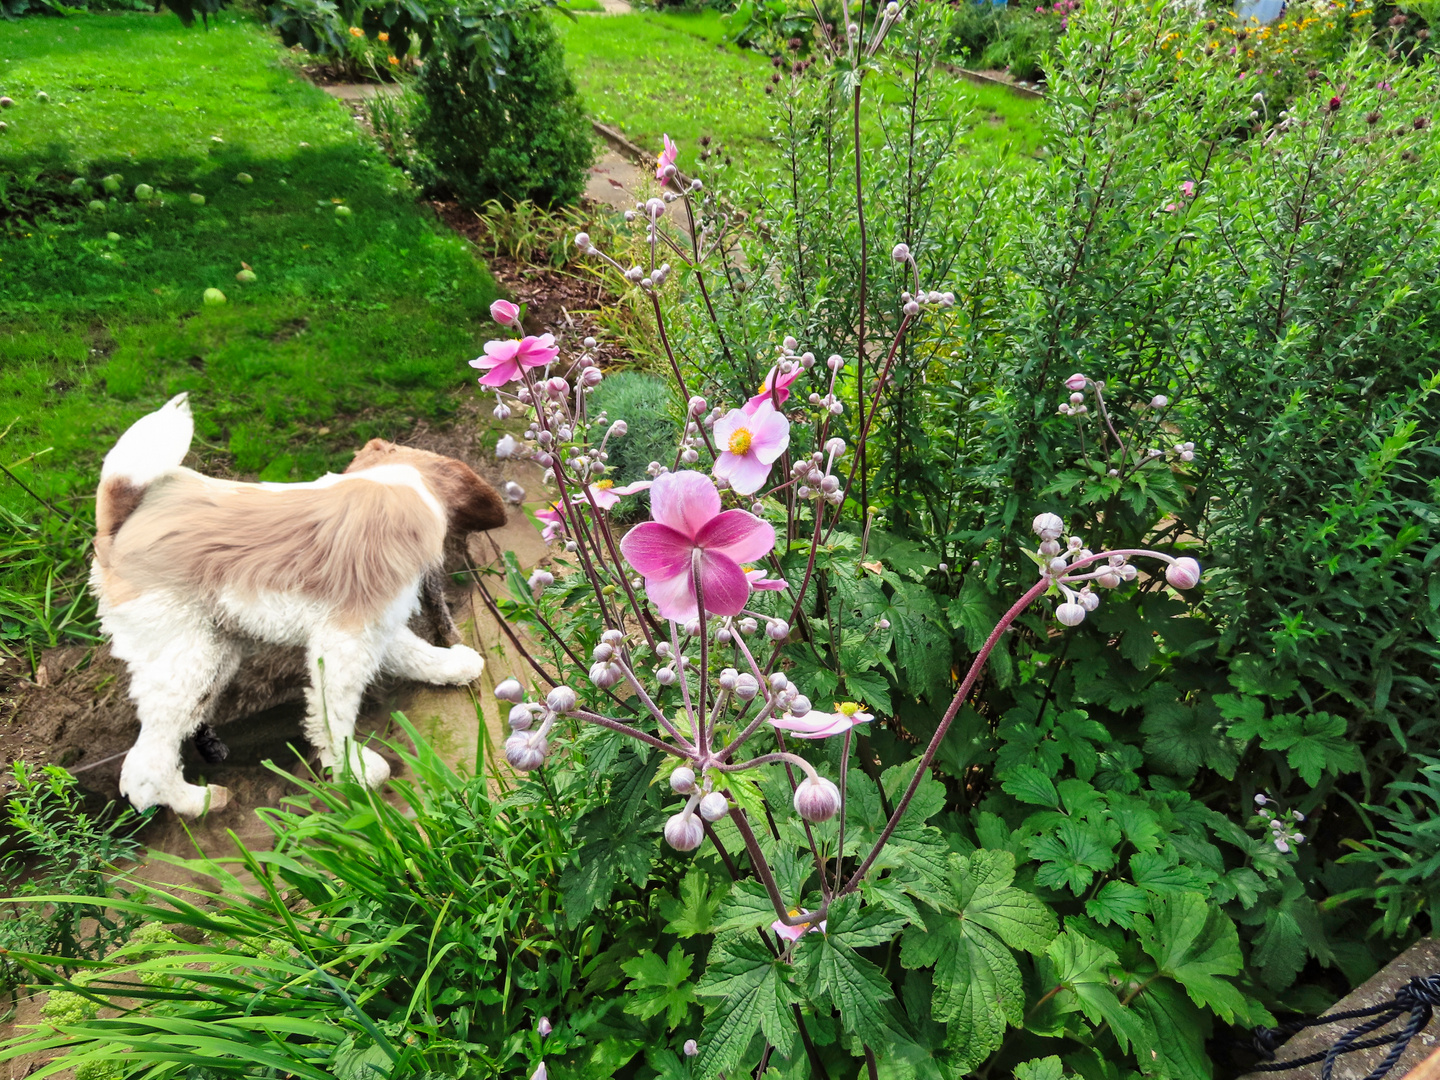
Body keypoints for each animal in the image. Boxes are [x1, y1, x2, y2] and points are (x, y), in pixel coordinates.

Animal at [90, 394, 506, 817]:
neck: (398, 482)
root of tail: (119, 520)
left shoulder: (372, 624)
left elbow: (413, 652)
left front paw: (452, 665)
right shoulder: (345, 639)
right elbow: (334, 713)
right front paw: (356, 772)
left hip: (215, 652)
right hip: (189, 660)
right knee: (146, 765)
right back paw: (198, 801)